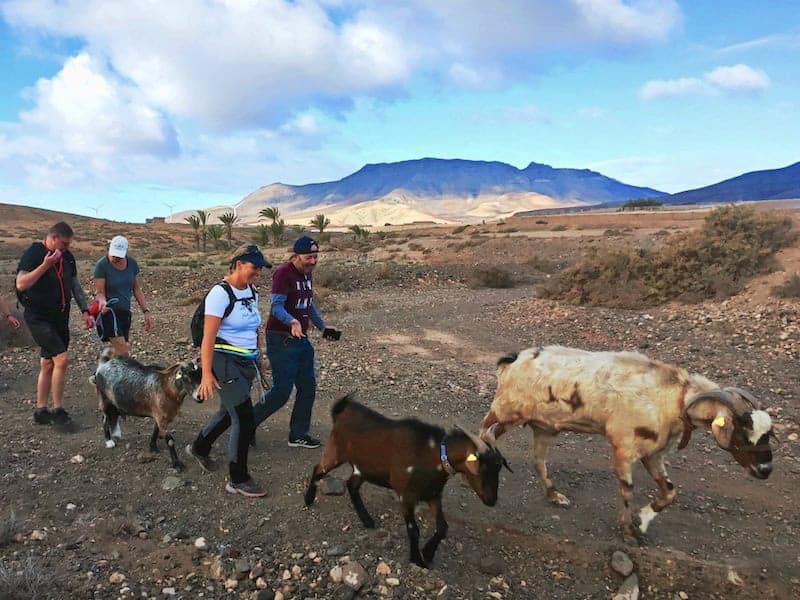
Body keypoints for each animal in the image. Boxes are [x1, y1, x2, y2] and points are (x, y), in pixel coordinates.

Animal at [482, 346, 776, 540]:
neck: (673, 397)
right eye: (743, 431)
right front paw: (628, 531)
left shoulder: (654, 453)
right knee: (485, 432)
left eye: (768, 433)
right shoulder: (624, 448)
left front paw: (643, 521)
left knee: (538, 461)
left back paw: (555, 496)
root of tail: (513, 360)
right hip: (505, 411)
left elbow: (669, 493)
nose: (766, 470)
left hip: (543, 426)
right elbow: (627, 491)